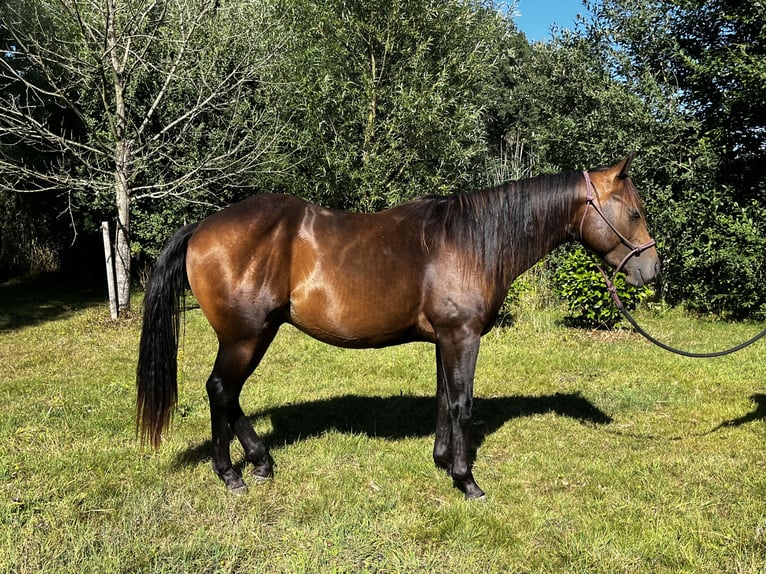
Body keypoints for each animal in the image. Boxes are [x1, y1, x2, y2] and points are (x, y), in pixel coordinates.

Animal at [136, 155, 660, 499]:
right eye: (634, 212)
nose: (651, 270)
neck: (471, 243)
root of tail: (203, 227)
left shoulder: (445, 339)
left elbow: (444, 399)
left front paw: (443, 461)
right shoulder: (462, 336)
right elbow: (462, 403)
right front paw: (467, 480)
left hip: (254, 333)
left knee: (230, 395)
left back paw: (261, 460)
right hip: (244, 336)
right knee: (221, 390)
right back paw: (232, 475)